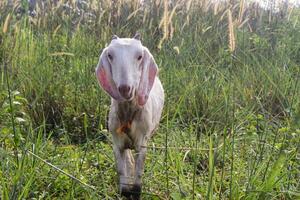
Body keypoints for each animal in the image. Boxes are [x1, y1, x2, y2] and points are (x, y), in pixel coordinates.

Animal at [95, 34, 164, 198]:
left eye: (139, 56)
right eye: (110, 55)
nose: (125, 89)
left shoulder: (142, 142)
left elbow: (138, 178)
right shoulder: (117, 142)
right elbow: (123, 178)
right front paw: (125, 188)